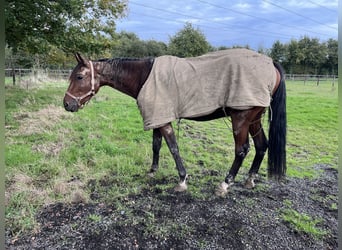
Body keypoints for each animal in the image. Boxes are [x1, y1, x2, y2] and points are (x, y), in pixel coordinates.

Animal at [63, 49, 286, 196]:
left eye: (79, 76)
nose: (67, 104)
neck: (144, 76)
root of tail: (271, 63)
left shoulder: (163, 121)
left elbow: (173, 148)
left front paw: (182, 180)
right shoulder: (157, 117)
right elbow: (156, 145)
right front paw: (152, 171)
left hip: (241, 119)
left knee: (242, 150)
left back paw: (225, 184)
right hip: (254, 118)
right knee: (261, 145)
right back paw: (250, 180)